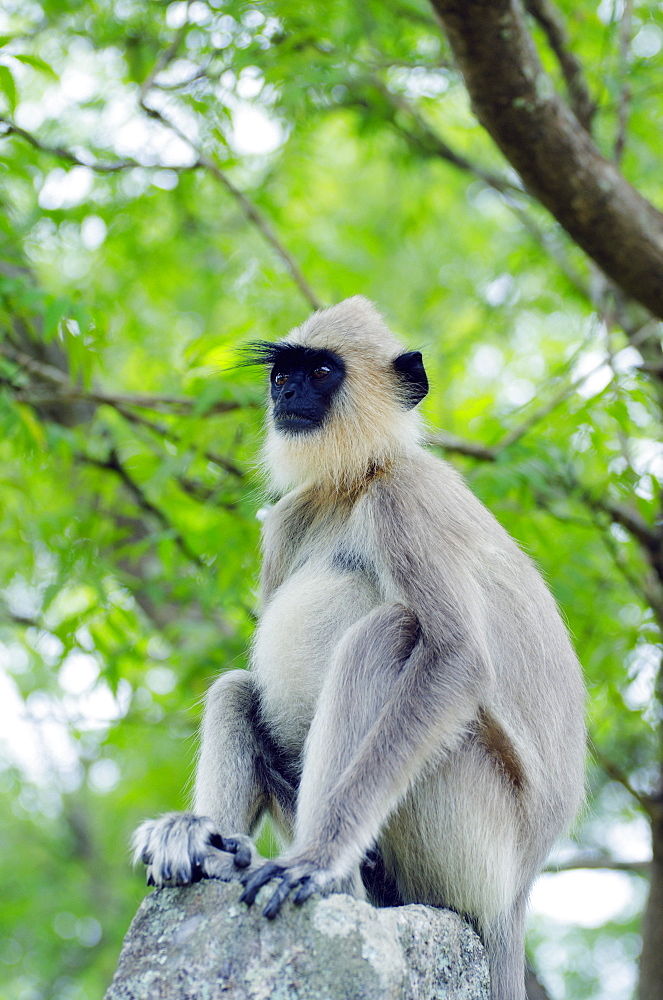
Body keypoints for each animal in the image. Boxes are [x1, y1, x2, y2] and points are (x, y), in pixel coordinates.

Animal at [134, 294, 588, 1000]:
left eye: (321, 372)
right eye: (282, 373)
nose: (287, 391)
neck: (356, 480)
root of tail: (519, 893)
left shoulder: (407, 497)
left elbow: (456, 657)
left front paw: (318, 860)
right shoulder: (290, 520)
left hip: (472, 838)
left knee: (390, 633)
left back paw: (329, 876)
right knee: (240, 689)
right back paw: (206, 846)